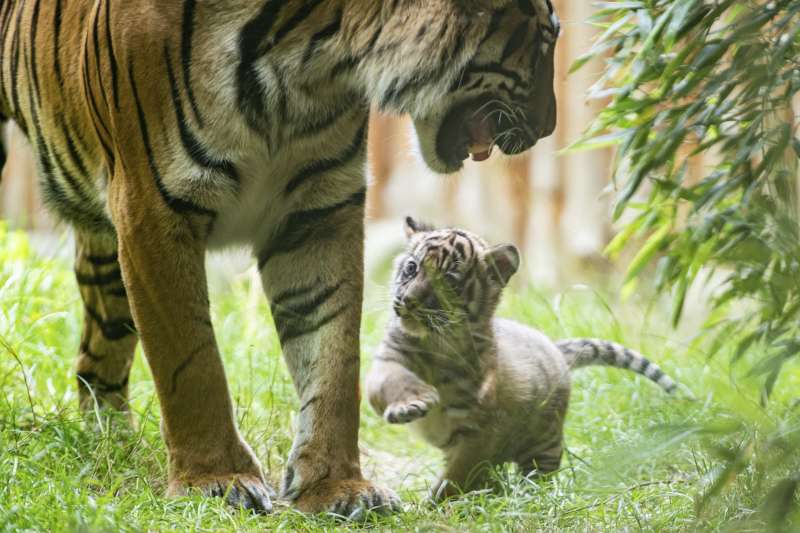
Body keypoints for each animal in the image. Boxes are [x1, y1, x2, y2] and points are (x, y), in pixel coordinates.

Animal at [0, 0, 560, 516]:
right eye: (549, 38)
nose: (549, 128)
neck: (309, 58)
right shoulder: (152, 209)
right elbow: (191, 362)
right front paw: (215, 479)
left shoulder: (318, 212)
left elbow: (333, 358)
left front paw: (337, 486)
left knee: (97, 356)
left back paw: (113, 446)